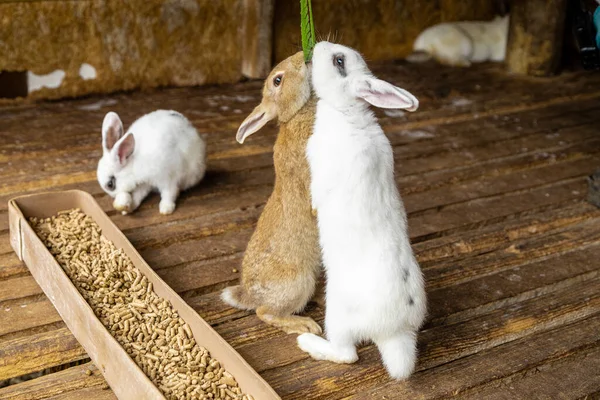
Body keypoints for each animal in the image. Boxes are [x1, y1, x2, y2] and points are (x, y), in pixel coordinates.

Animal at [220, 52, 324, 334]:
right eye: (277, 80)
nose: (303, 57)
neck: (295, 114)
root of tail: (250, 295)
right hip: (298, 283)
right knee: (265, 312)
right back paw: (306, 326)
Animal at [298, 42, 428, 380]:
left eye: (338, 61)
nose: (318, 46)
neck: (346, 113)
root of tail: (395, 332)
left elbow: (317, 192)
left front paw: (312, 206)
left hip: (338, 315)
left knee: (347, 355)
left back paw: (308, 343)